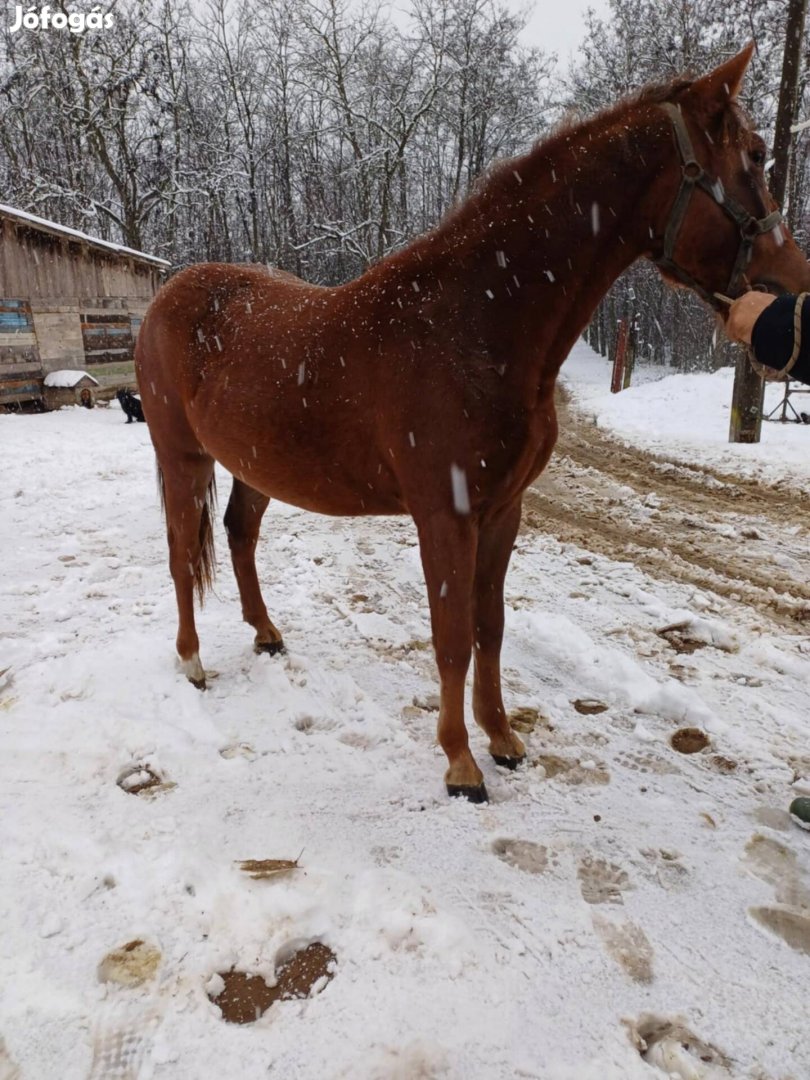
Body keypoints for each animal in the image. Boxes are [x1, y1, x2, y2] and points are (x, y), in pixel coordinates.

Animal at [136, 46, 810, 803]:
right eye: (754, 156)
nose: (794, 285)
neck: (474, 324)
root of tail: (168, 294)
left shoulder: (502, 511)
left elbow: (490, 627)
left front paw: (503, 739)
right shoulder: (445, 515)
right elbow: (452, 634)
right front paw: (460, 763)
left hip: (255, 464)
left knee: (239, 534)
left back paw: (266, 633)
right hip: (181, 457)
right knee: (180, 553)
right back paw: (192, 661)